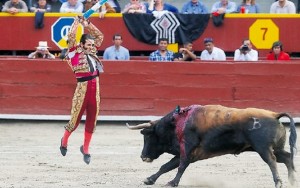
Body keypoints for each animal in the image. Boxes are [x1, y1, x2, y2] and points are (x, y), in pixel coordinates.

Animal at [126, 105, 298, 187]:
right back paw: (292, 181)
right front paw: (149, 179)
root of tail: (274, 115)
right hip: (276, 148)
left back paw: (279, 182)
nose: (143, 156)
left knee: (272, 161)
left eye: (148, 135)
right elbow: (166, 166)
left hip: (263, 148)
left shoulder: (187, 150)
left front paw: (173, 183)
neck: (177, 123)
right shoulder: (185, 152)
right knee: (287, 158)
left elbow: (180, 166)